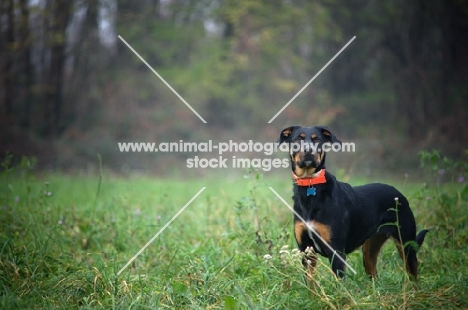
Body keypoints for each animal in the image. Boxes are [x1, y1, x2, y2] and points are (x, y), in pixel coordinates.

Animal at [276, 125, 430, 280]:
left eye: (317, 139)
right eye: (297, 139)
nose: (308, 150)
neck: (310, 184)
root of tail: (399, 195)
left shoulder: (336, 250)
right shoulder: (306, 251)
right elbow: (310, 283)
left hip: (406, 243)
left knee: (413, 274)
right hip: (370, 249)